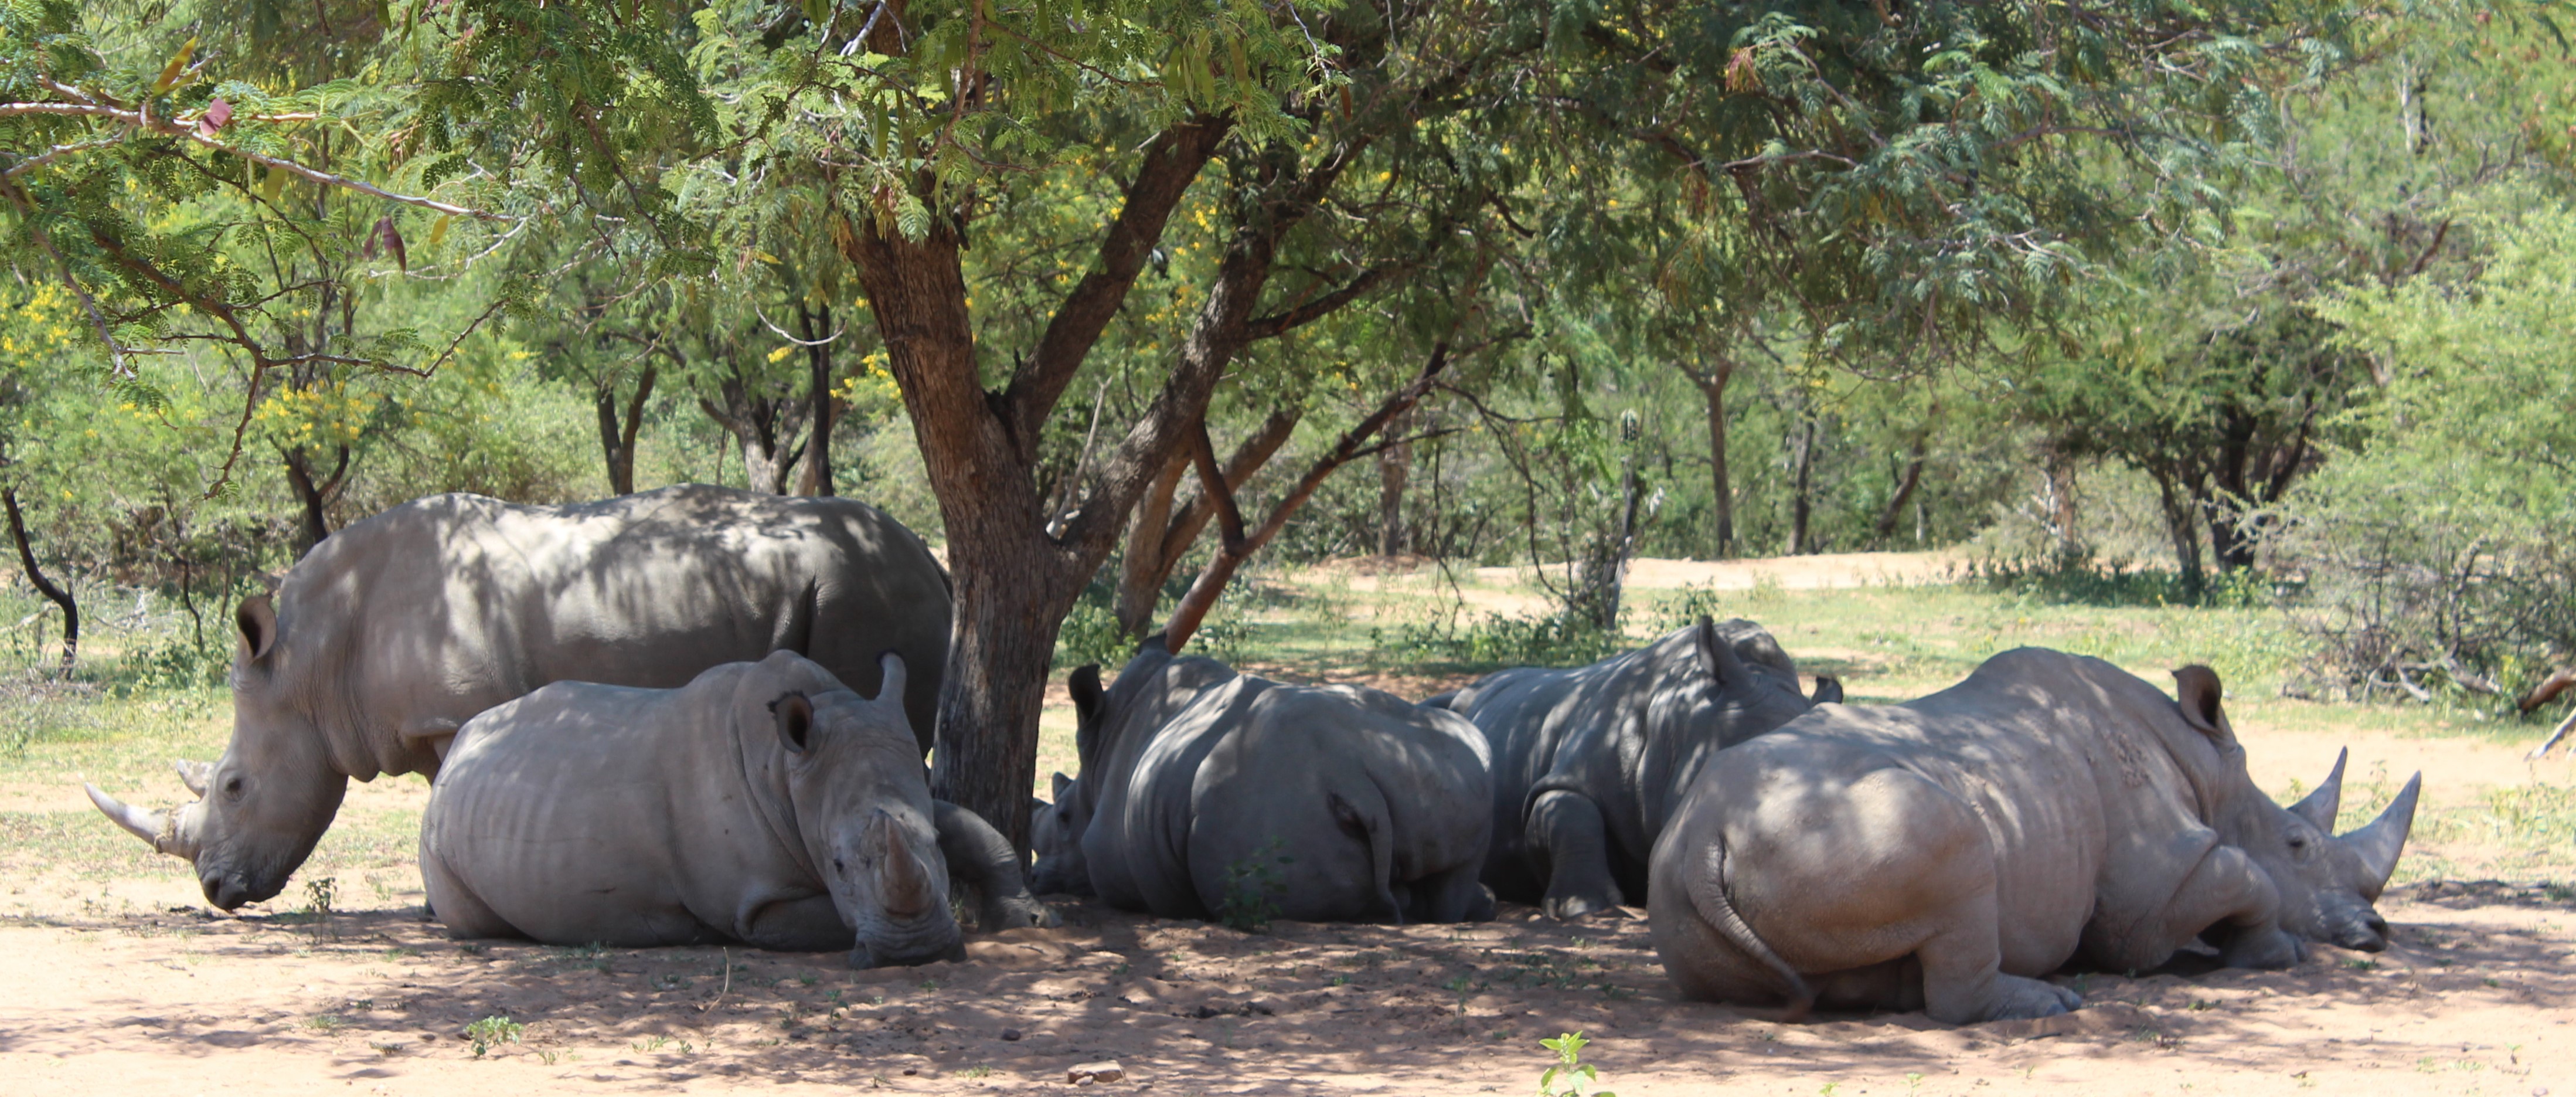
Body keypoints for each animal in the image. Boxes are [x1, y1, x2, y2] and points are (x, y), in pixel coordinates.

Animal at [83, 486, 969, 912]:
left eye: (235, 786)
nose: (213, 890)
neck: (311, 663)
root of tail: (934, 561)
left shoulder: (452, 714)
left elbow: (447, 797)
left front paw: (441, 906)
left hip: (862, 588)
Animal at [422, 652, 998, 965]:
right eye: (837, 865)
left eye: (936, 844)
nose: (915, 951)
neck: (788, 771)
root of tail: (461, 745)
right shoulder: (755, 907)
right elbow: (827, 918)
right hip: (437, 835)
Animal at [1031, 641, 1495, 924]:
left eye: (1064, 817)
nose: (1035, 877)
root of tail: (1353, 781)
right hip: (1452, 763)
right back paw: (1474, 902)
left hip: (1259, 810)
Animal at [1648, 648, 2420, 1024]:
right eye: (2298, 843)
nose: (2377, 930)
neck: (2211, 770)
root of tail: (1705, 835)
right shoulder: (2155, 892)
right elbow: (2240, 874)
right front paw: (2279, 950)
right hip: (1843, 823)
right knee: (1959, 843)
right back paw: (2051, 1005)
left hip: (1695, 883)